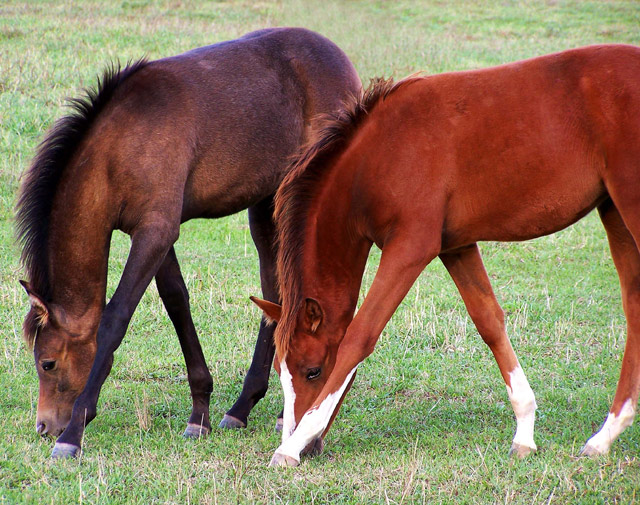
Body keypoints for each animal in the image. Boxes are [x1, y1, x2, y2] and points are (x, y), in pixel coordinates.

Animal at [15, 28, 360, 460]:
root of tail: (341, 60)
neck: (120, 147)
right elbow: (177, 303)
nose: (44, 427)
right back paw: (245, 407)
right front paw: (200, 414)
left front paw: (74, 431)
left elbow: (115, 318)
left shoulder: (155, 233)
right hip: (266, 203)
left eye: (47, 363)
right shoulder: (156, 233)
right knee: (276, 293)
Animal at [250, 43, 640, 464]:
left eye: (312, 371)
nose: (309, 447)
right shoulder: (456, 246)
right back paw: (605, 437)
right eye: (280, 372)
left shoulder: (410, 248)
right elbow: (489, 322)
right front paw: (525, 433)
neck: (379, 155)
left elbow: (360, 336)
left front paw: (289, 448)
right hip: (613, 211)